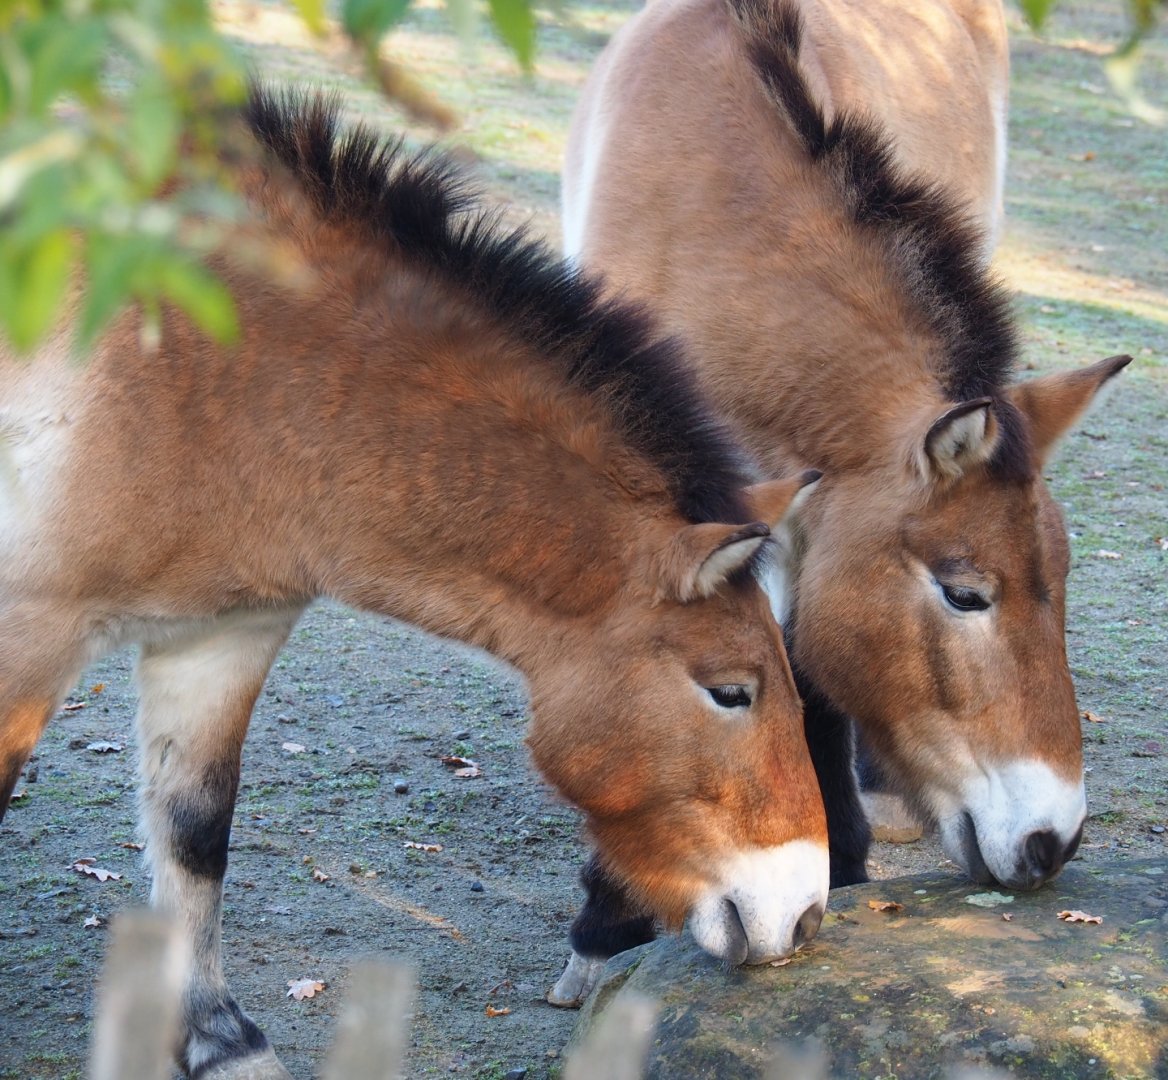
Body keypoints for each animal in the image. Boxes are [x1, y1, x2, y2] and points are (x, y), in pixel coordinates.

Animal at [0, 87, 832, 1079]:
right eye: (730, 692)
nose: (805, 912)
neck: (208, 367)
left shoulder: (218, 637)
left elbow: (195, 835)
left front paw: (220, 1038)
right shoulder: (30, 635)